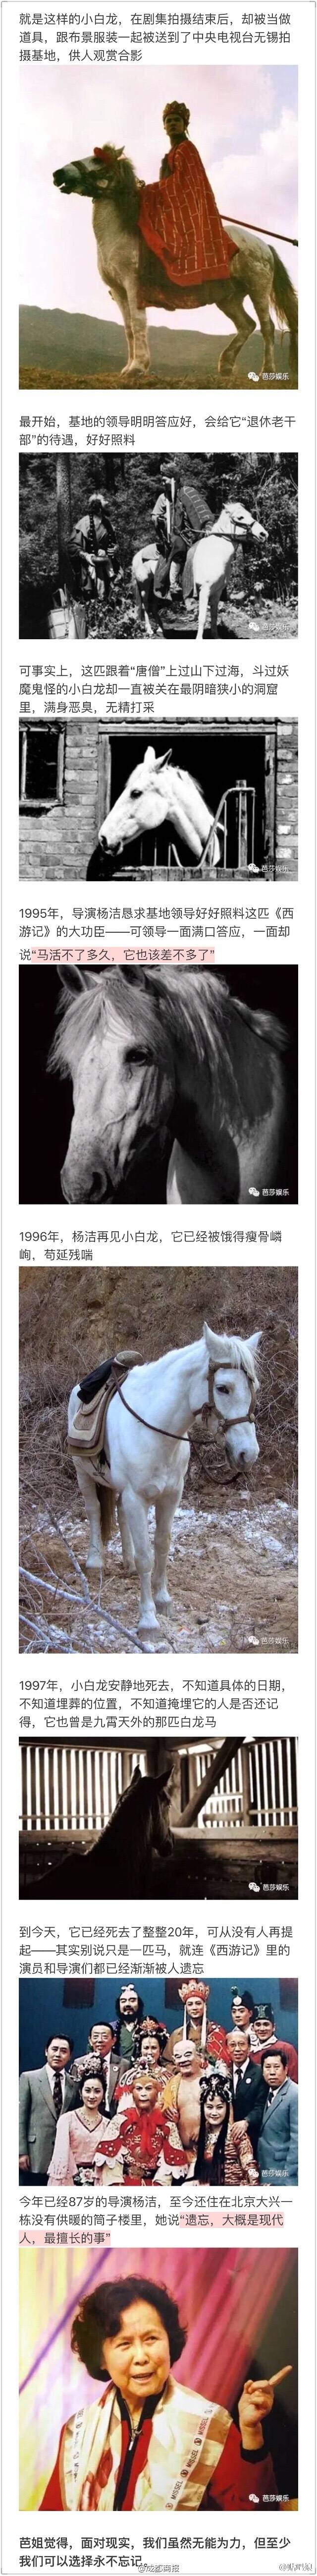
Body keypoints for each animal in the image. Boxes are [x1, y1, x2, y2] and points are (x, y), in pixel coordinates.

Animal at [53, 148, 298, 387]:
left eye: (97, 160)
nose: (58, 174)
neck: (120, 233)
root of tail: (263, 245)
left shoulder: (133, 285)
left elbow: (138, 323)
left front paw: (138, 368)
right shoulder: (119, 290)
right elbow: (128, 328)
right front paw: (128, 368)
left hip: (259, 289)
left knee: (266, 328)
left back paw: (267, 370)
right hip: (229, 298)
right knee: (247, 325)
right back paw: (226, 366)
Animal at [67, 1321, 261, 1636]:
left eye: (254, 1387)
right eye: (223, 1388)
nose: (248, 1454)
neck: (154, 1428)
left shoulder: (171, 1496)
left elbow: (162, 1545)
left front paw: (163, 1600)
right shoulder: (137, 1498)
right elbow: (147, 1557)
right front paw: (148, 1619)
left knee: (119, 1513)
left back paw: (128, 1562)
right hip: (82, 1472)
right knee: (94, 1511)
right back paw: (95, 1561)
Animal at [132, 499, 268, 638]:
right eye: (241, 517)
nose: (264, 534)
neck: (216, 555)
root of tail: (137, 555)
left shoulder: (217, 592)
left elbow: (214, 616)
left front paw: (216, 637)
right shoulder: (204, 591)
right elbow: (202, 617)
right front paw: (199, 638)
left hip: (156, 589)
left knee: (153, 607)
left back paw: (160, 630)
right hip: (144, 586)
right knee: (145, 606)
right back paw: (149, 630)